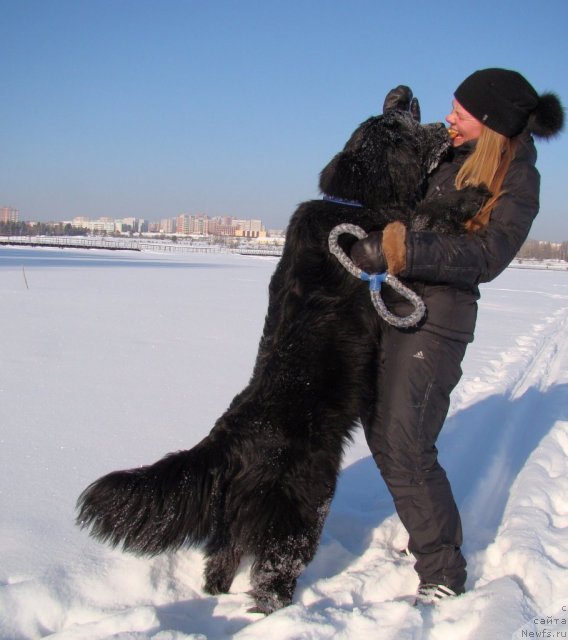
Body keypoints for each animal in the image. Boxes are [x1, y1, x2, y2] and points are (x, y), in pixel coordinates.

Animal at [74, 106, 484, 616]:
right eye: (402, 127)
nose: (421, 108)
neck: (353, 203)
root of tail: (229, 439)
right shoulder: (391, 235)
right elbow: (425, 219)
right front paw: (471, 195)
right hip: (301, 509)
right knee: (272, 578)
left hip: (234, 524)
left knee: (220, 564)